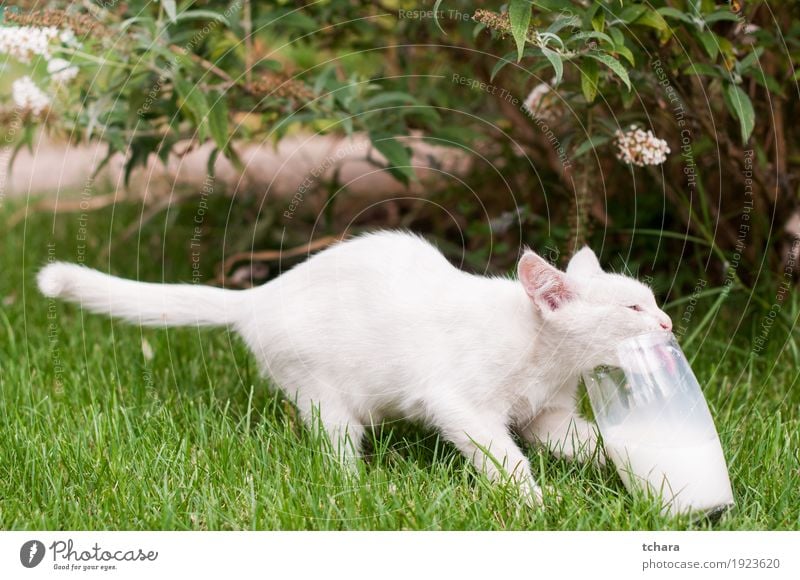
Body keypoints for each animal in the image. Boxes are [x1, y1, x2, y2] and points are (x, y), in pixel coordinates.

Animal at [39, 230, 676, 502]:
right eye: (633, 308)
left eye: (650, 299)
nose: (669, 323)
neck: (548, 360)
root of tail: (260, 296)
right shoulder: (458, 404)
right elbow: (503, 457)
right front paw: (536, 503)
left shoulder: (549, 416)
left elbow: (584, 441)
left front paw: (631, 462)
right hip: (325, 396)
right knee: (336, 450)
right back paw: (358, 490)